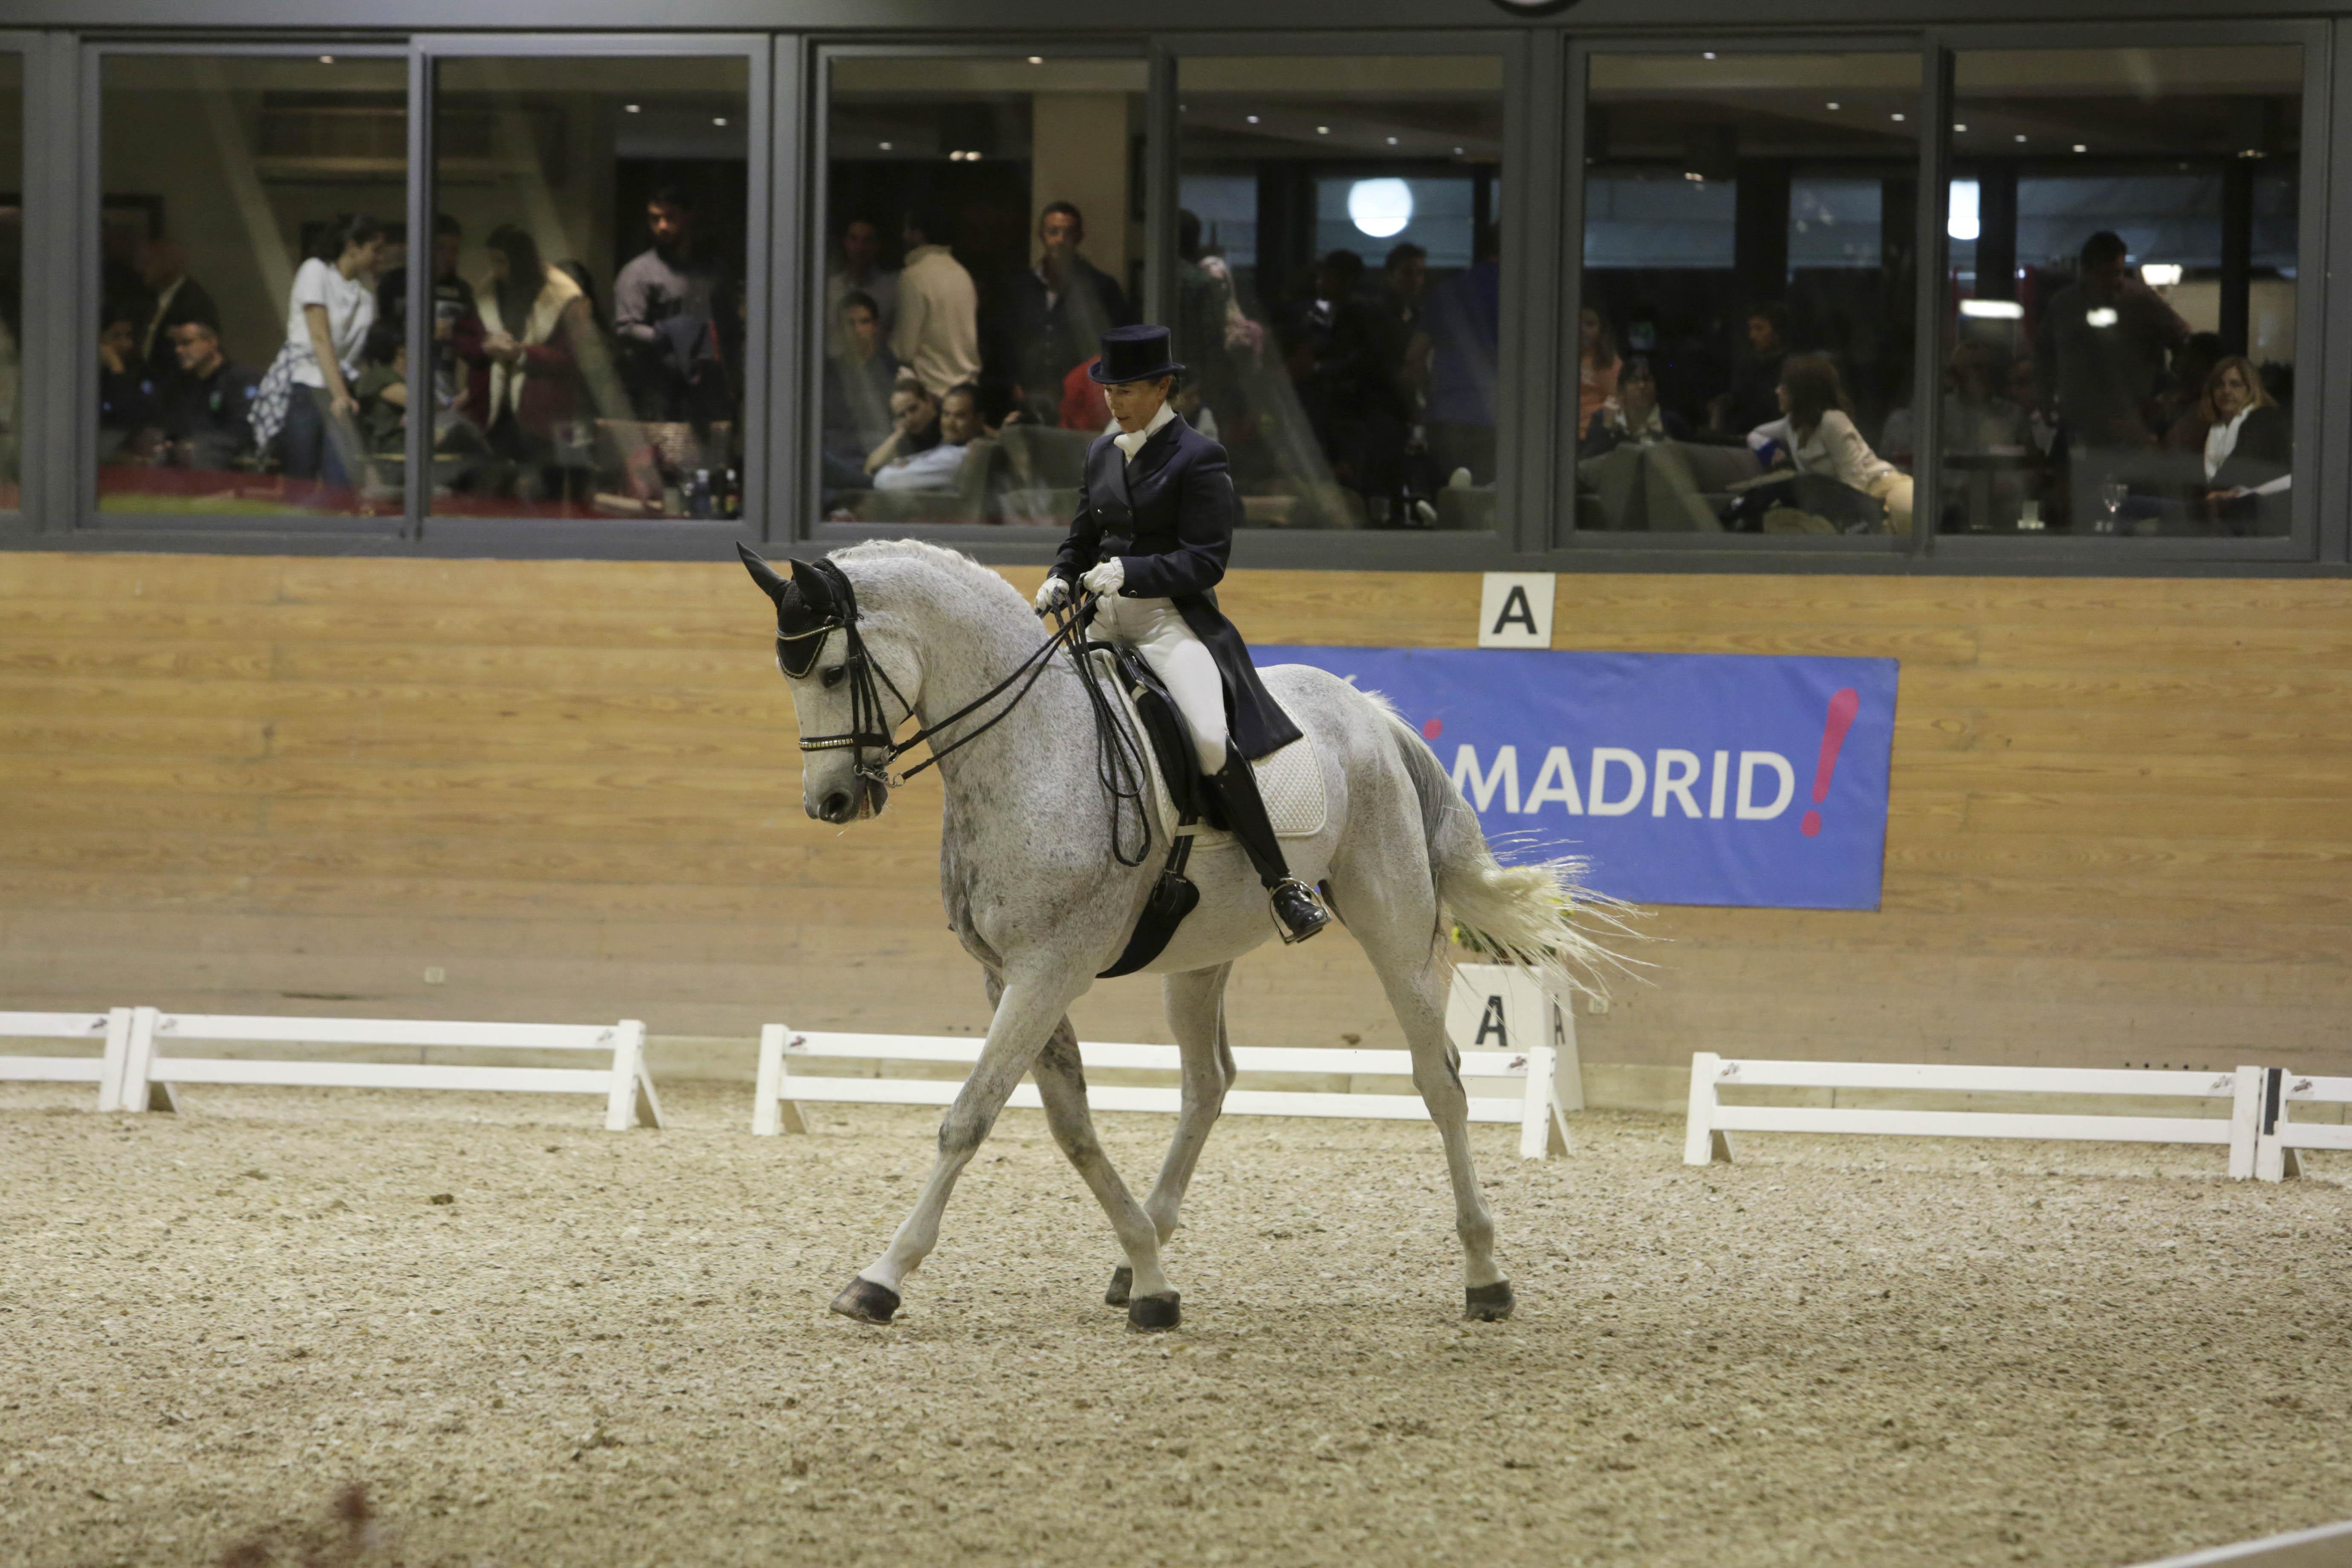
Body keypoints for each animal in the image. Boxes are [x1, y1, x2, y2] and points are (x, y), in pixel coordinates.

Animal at [734, 543, 1618, 1335]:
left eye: (832, 673)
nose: (831, 801)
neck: (1031, 747)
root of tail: (1369, 710)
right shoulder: (1007, 975)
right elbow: (1072, 1125)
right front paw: (1150, 1274)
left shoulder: (1048, 969)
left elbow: (970, 1115)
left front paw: (879, 1278)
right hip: (1198, 957)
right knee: (1208, 1082)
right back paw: (1142, 1255)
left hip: (1390, 921)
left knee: (1440, 1081)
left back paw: (1485, 1274)